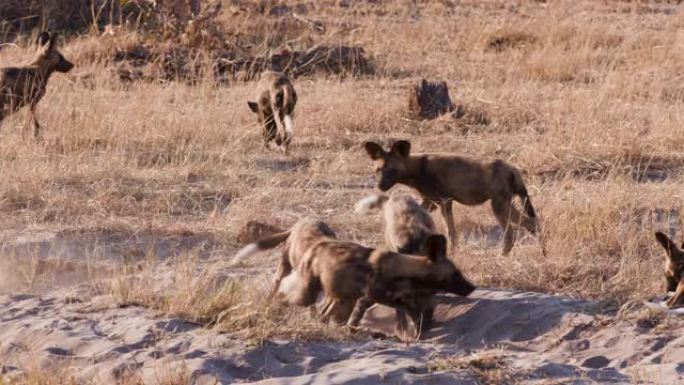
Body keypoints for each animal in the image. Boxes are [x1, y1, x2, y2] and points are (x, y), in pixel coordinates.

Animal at [360, 139, 544, 255]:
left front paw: (453, 253)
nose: (380, 186)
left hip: (499, 207)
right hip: (504, 205)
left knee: (520, 230)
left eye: (392, 170)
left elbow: (451, 232)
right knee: (528, 226)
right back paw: (541, 254)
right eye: (378, 170)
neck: (417, 169)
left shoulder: (444, 202)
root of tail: (513, 169)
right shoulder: (431, 202)